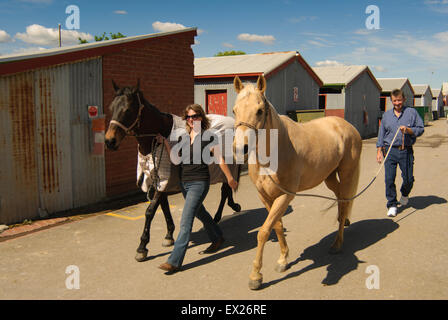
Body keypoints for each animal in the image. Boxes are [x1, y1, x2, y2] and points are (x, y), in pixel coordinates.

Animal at [104, 80, 242, 262]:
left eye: (128, 110)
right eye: (111, 107)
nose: (109, 141)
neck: (158, 137)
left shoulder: (164, 179)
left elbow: (150, 212)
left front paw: (142, 247)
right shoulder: (158, 180)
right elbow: (164, 208)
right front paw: (169, 235)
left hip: (228, 168)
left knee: (225, 191)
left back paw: (219, 216)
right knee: (226, 190)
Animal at [233, 75, 362, 290]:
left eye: (259, 110)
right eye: (234, 110)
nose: (239, 148)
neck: (274, 152)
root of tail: (346, 126)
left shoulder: (285, 196)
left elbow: (263, 231)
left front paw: (255, 276)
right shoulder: (265, 196)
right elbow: (276, 226)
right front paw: (283, 259)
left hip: (347, 174)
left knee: (345, 202)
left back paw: (337, 244)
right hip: (328, 176)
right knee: (340, 198)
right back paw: (342, 223)